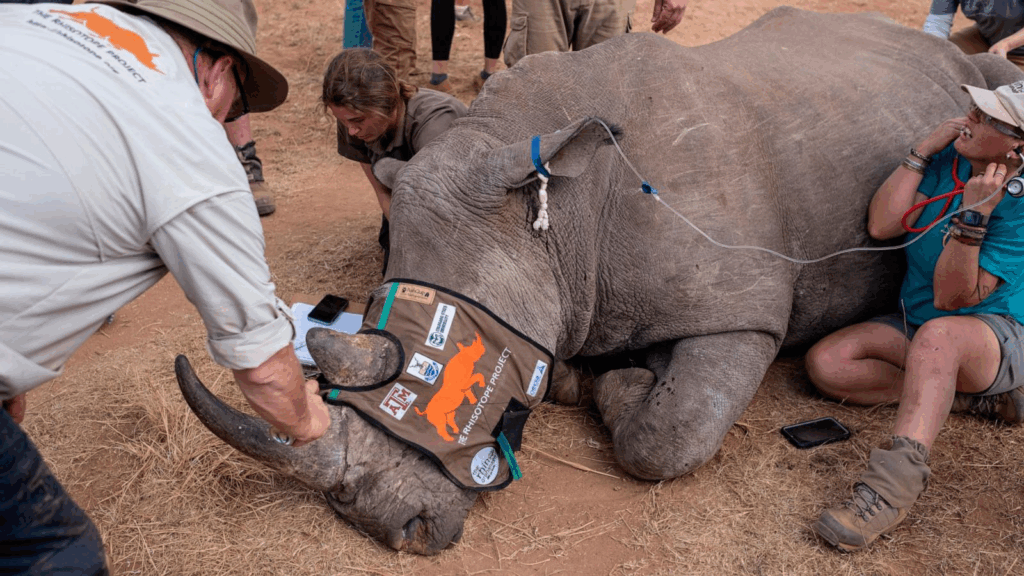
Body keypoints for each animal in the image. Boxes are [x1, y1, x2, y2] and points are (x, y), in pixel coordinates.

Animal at [173, 7, 1024, 555]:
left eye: (433, 369)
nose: (388, 527)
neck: (561, 218)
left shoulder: (742, 310)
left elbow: (671, 434)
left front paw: (621, 385)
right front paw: (585, 376)